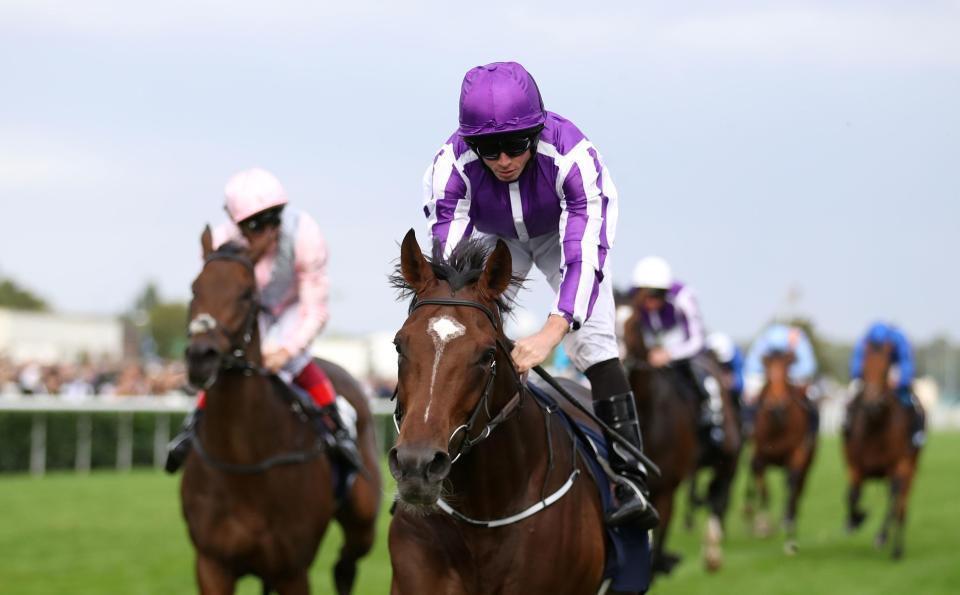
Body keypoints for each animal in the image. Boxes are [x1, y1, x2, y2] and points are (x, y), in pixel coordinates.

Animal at [181, 229, 382, 595]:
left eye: (247, 294)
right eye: (194, 288)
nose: (201, 356)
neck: (242, 461)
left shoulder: (292, 569)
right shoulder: (212, 564)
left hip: (363, 521)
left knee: (346, 564)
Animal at [744, 352, 816, 556]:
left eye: (786, 372)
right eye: (768, 371)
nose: (776, 405)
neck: (777, 425)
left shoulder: (797, 454)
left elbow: (791, 487)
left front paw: (790, 538)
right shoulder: (759, 456)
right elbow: (764, 490)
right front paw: (763, 526)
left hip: (807, 463)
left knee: (797, 490)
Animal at [848, 340, 924, 560]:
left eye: (884, 371)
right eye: (864, 370)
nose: (871, 405)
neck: (876, 426)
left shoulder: (899, 466)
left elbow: (893, 498)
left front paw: (881, 537)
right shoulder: (856, 466)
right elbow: (852, 496)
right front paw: (856, 519)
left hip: (910, 467)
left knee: (900, 505)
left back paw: (896, 547)